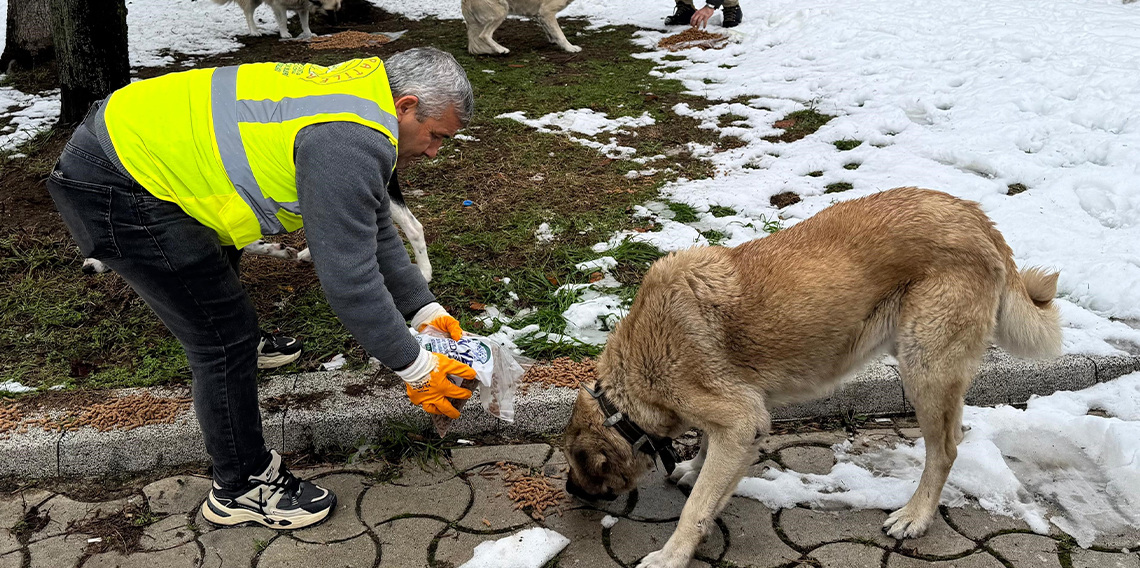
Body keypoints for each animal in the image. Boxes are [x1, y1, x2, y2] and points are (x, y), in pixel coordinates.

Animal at [565, 187, 1062, 568]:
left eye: (575, 461)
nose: (569, 490)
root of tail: (977, 218)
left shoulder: (739, 420)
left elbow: (697, 508)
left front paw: (671, 555)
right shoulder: (739, 418)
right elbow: (708, 457)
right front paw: (695, 465)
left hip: (925, 370)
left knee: (945, 451)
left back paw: (915, 516)